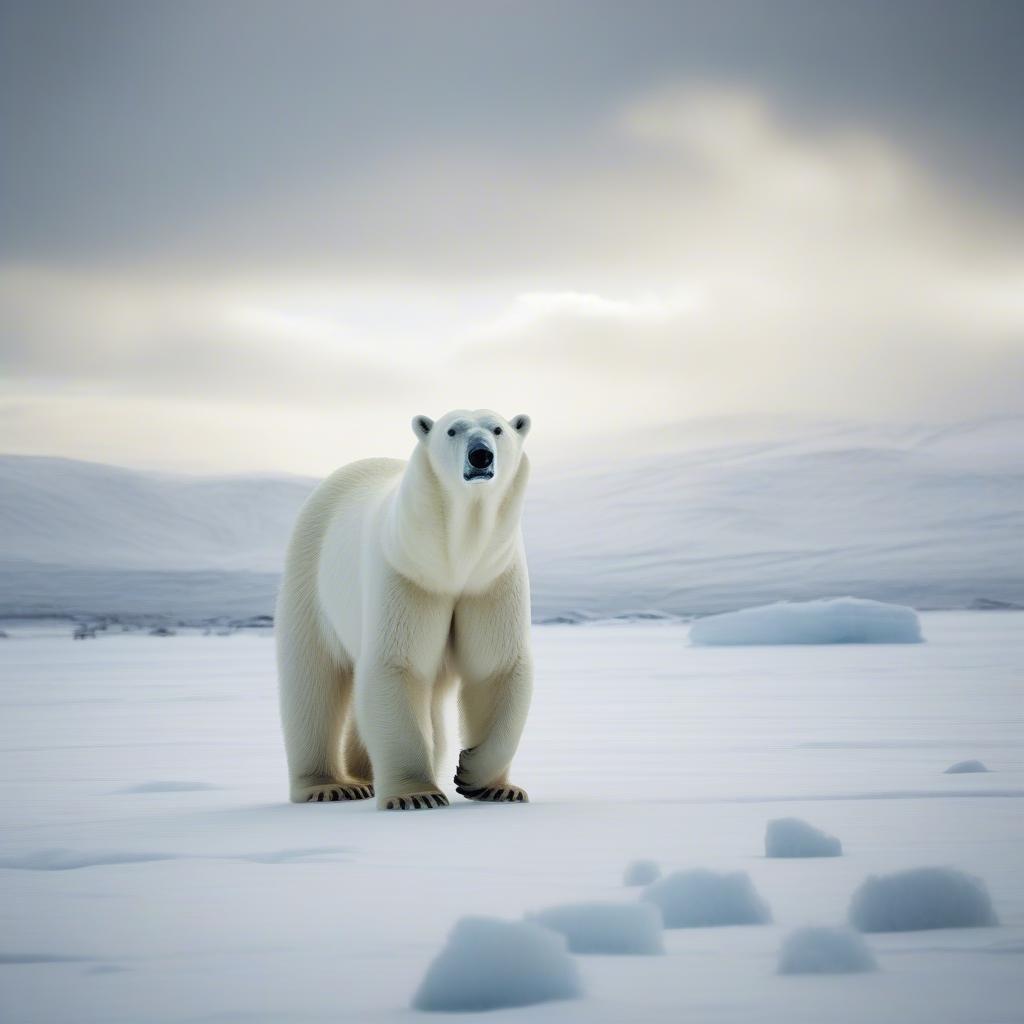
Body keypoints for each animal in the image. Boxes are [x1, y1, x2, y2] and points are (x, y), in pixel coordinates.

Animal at [278, 407, 536, 806]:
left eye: (498, 429)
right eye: (452, 430)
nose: (480, 455)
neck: (454, 561)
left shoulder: (490, 579)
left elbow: (496, 667)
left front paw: (488, 782)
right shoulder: (408, 575)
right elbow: (397, 664)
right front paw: (416, 795)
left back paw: (363, 775)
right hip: (310, 576)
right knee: (312, 680)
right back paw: (329, 785)